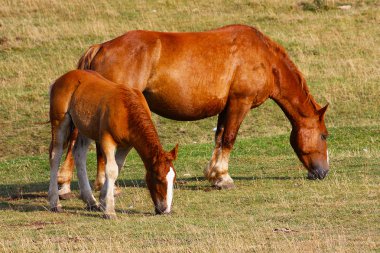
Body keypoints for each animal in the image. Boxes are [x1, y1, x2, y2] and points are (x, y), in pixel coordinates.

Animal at [48, 69, 177, 219]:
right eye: (159, 179)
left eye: (173, 179)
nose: (165, 209)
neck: (127, 109)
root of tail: (62, 78)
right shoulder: (106, 140)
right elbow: (111, 169)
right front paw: (109, 210)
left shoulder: (127, 145)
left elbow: (118, 166)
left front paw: (103, 200)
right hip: (60, 121)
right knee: (55, 155)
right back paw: (55, 203)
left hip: (85, 128)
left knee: (79, 154)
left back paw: (91, 201)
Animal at [58, 24, 328, 196]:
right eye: (325, 136)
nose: (323, 172)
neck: (263, 57)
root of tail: (101, 47)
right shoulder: (239, 103)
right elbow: (229, 139)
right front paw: (224, 177)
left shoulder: (226, 107)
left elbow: (220, 138)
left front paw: (215, 175)